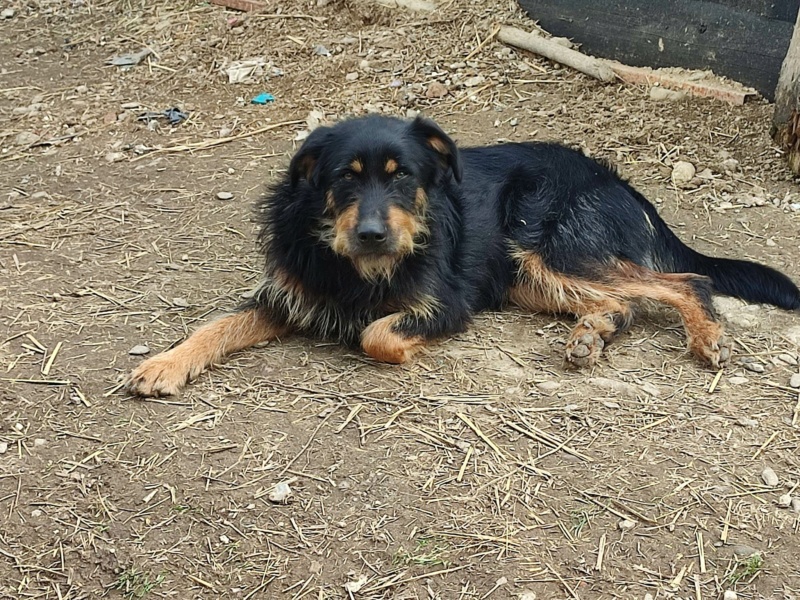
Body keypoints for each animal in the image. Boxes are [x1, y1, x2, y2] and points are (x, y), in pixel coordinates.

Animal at [125, 114, 800, 396]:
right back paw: (592, 334)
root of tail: (618, 180)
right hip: (525, 274)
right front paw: (166, 363)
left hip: (545, 245)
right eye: (344, 178)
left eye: (401, 177)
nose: (372, 235)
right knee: (623, 301)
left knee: (682, 280)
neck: (354, 263)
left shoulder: (446, 305)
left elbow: (375, 333)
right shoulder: (290, 293)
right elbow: (217, 325)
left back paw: (705, 337)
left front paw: (405, 353)